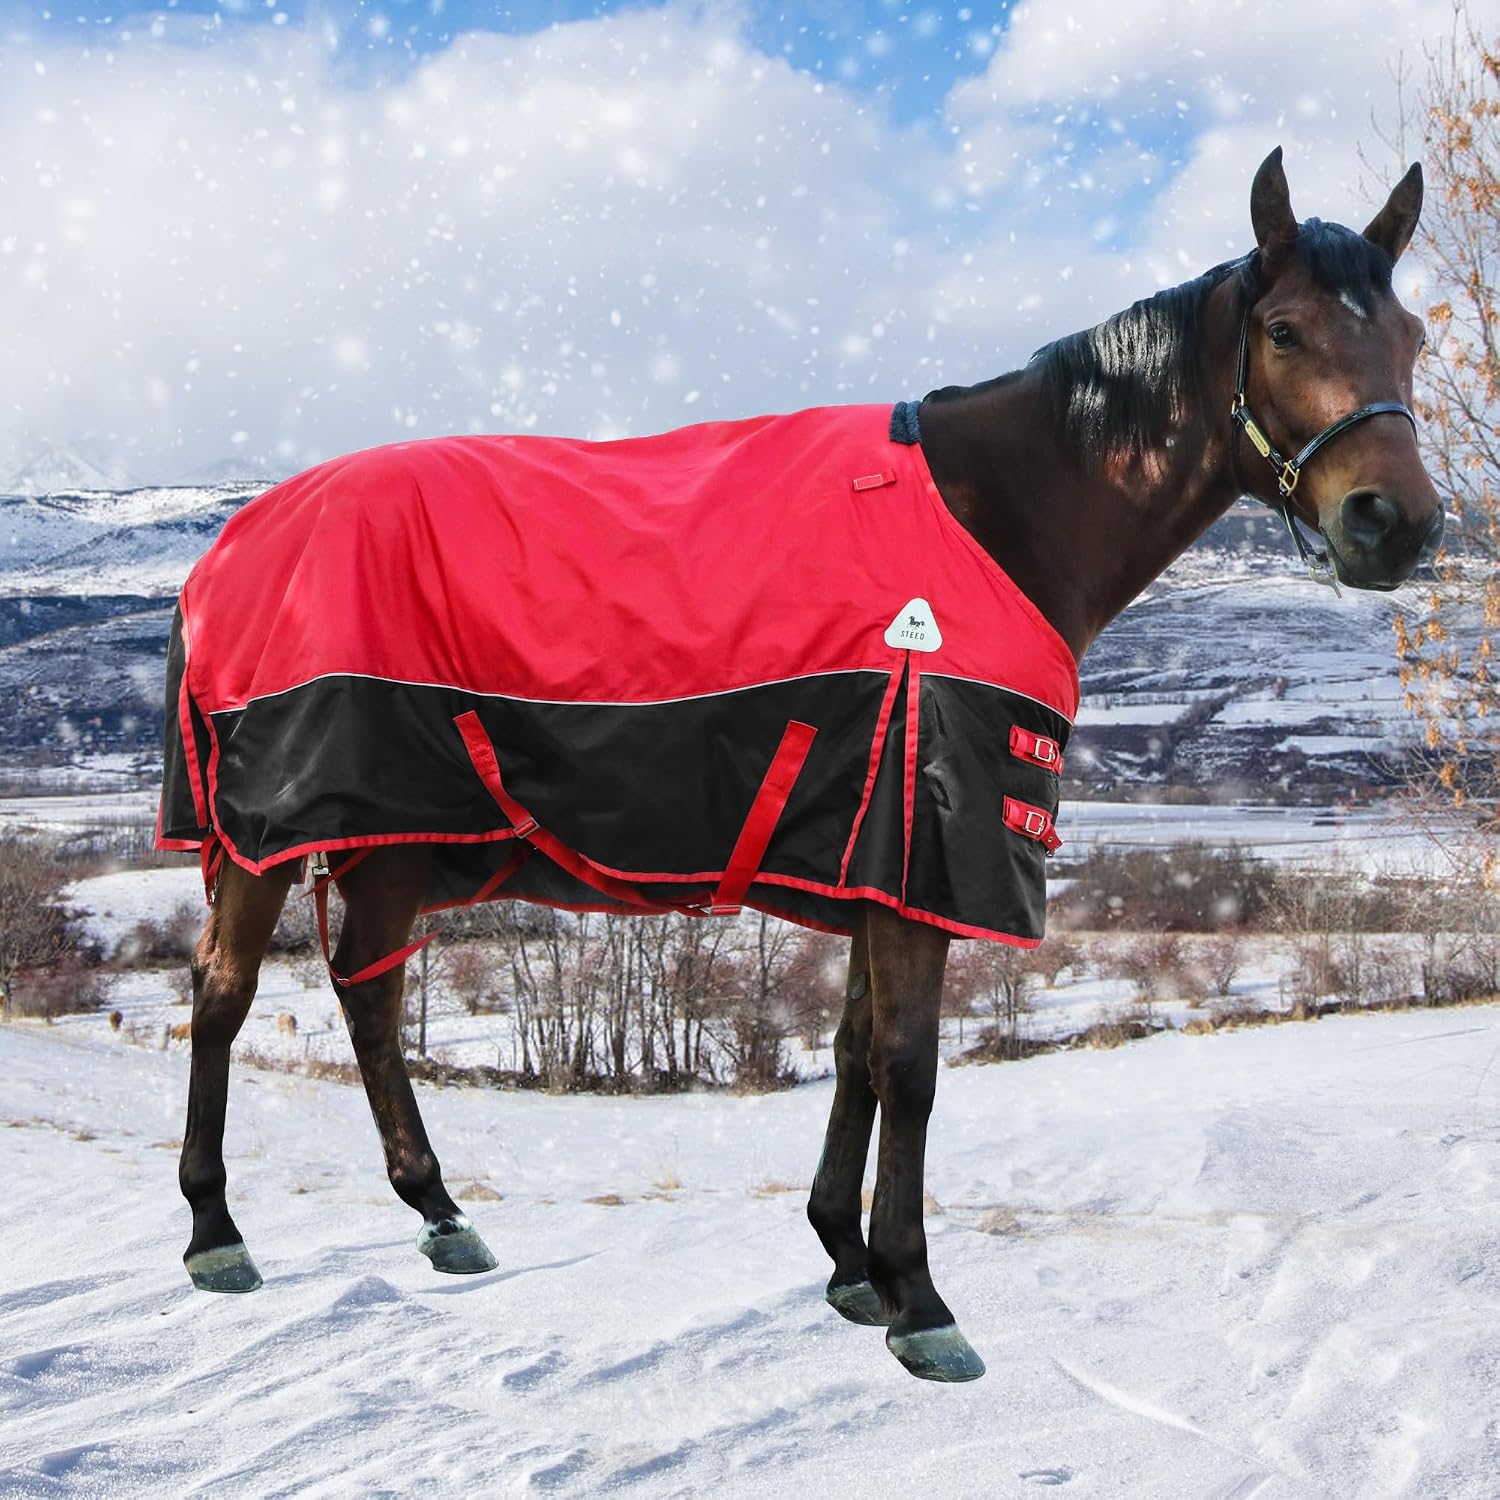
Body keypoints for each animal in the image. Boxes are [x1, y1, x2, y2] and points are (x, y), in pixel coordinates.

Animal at [160, 148, 1441, 1383]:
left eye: (1415, 338)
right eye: (1286, 330)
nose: (1400, 524)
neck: (991, 520)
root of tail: (236, 541)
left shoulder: (879, 847)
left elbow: (857, 1050)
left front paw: (847, 1260)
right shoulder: (923, 836)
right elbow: (910, 1066)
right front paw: (918, 1299)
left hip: (389, 836)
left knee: (368, 991)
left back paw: (438, 1211)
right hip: (264, 832)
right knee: (222, 993)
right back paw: (216, 1231)